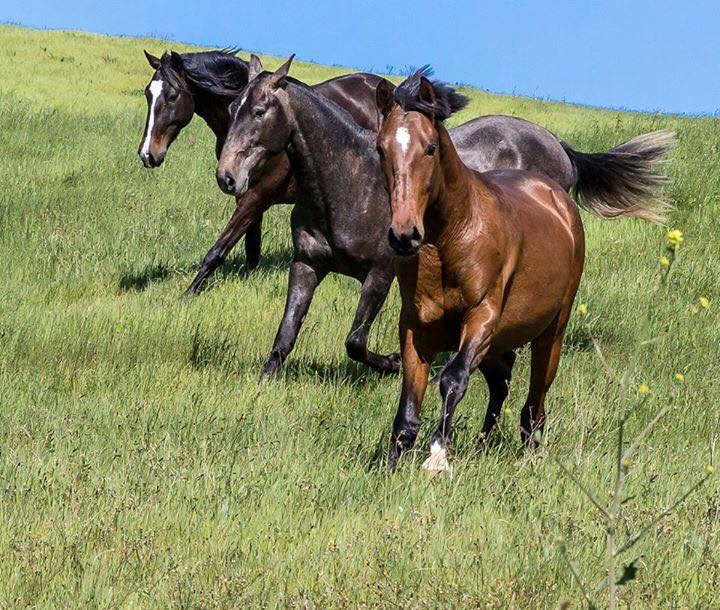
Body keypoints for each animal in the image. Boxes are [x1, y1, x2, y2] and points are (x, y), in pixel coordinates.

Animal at [376, 71, 668, 470]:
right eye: (381, 149)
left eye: (431, 148)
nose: (405, 235)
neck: (451, 240)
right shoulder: (415, 327)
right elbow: (407, 412)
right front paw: (392, 468)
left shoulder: (482, 317)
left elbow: (453, 379)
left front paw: (437, 458)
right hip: (500, 341)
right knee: (502, 382)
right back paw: (484, 442)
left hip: (551, 331)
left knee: (534, 402)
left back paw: (528, 451)